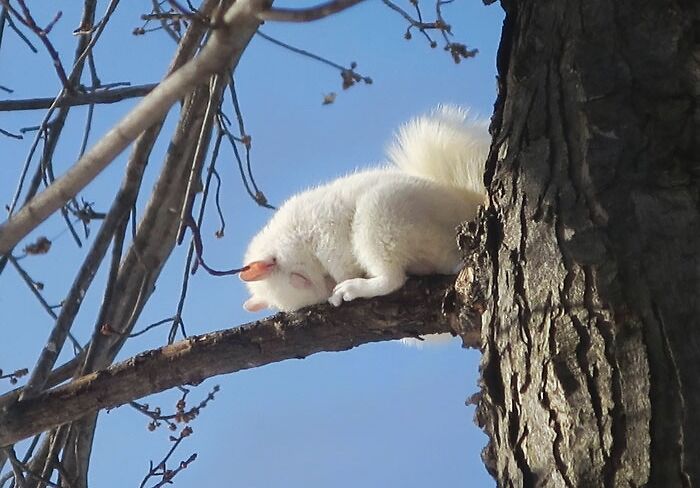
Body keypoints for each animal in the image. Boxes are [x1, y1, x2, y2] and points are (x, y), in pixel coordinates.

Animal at [243, 105, 490, 314]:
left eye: (298, 278)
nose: (328, 290)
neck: (291, 234)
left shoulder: (325, 232)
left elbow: (338, 259)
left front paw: (341, 283)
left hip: (381, 217)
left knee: (392, 279)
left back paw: (354, 287)